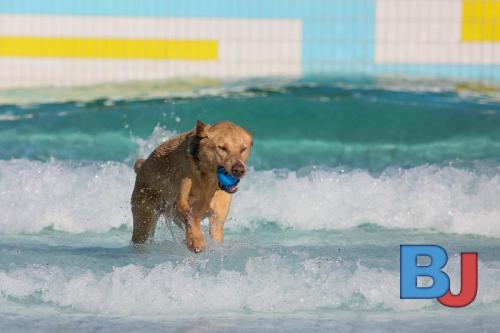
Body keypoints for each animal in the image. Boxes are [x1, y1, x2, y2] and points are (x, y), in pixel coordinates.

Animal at [131, 120, 252, 252]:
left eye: (243, 149)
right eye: (222, 148)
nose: (239, 170)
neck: (208, 181)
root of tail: (141, 167)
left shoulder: (218, 213)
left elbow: (215, 228)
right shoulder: (182, 196)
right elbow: (189, 215)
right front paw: (196, 241)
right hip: (145, 209)